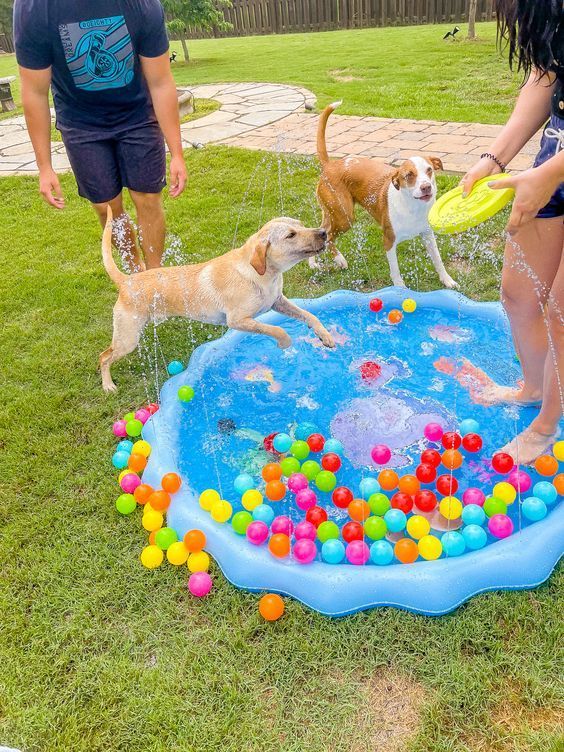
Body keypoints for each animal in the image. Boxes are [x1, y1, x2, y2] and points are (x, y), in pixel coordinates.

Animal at [98, 207, 334, 390]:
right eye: (290, 235)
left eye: (301, 225)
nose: (324, 232)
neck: (263, 273)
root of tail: (126, 281)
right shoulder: (237, 320)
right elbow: (276, 329)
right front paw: (285, 343)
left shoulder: (278, 302)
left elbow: (309, 315)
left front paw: (325, 336)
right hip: (127, 339)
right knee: (104, 356)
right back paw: (108, 385)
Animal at [316, 100, 456, 288]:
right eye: (409, 175)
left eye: (429, 170)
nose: (426, 187)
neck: (412, 207)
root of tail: (330, 165)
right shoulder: (389, 240)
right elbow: (395, 271)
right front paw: (400, 289)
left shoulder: (428, 235)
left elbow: (438, 260)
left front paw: (447, 280)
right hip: (345, 217)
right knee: (329, 236)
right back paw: (339, 260)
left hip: (331, 211)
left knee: (320, 230)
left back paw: (313, 262)